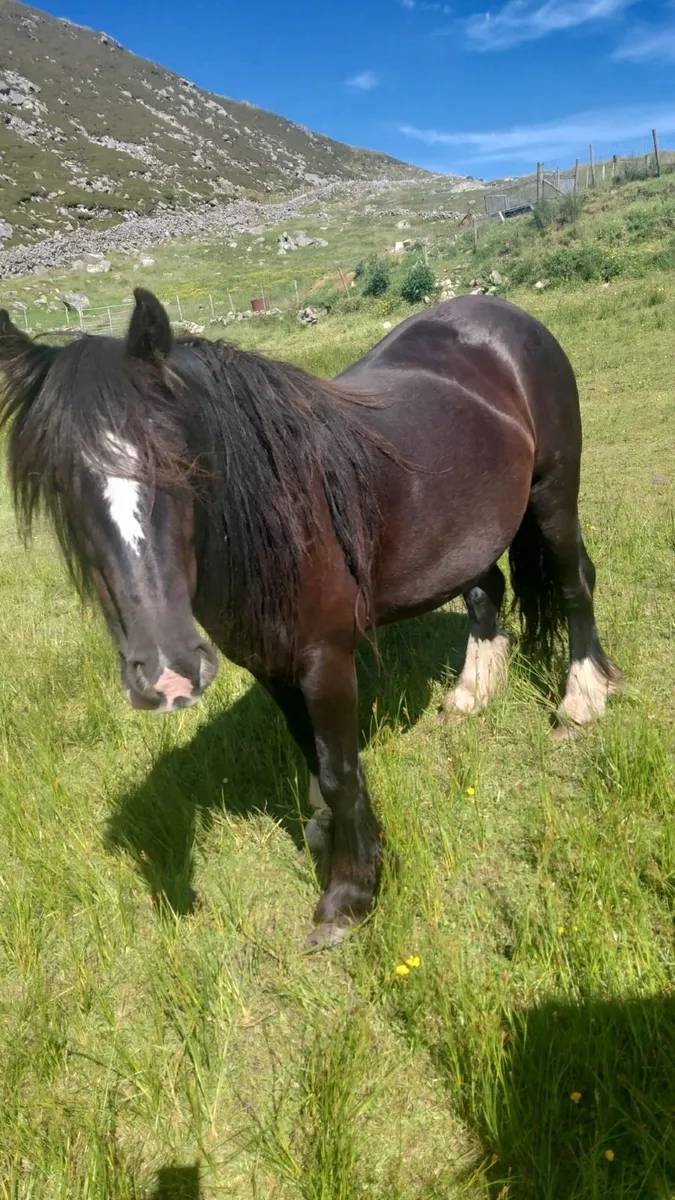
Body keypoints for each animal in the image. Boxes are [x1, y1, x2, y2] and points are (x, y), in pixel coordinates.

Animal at [0, 289, 622, 948]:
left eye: (181, 461)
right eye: (60, 486)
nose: (167, 673)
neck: (277, 514)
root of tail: (504, 314)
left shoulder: (325, 660)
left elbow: (338, 770)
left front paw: (349, 894)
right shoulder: (271, 666)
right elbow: (315, 765)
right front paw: (333, 843)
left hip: (553, 491)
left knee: (575, 585)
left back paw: (581, 701)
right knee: (486, 591)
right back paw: (471, 694)